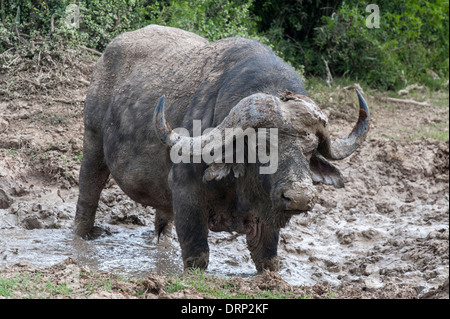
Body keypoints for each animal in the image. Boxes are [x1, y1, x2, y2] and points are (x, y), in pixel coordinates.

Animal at [74, 25, 370, 272]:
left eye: (310, 148)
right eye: (262, 146)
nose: (298, 197)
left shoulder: (266, 216)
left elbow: (268, 260)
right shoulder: (186, 192)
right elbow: (197, 256)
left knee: (162, 221)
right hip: (93, 142)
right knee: (88, 193)